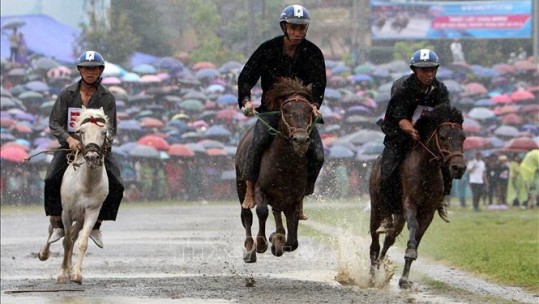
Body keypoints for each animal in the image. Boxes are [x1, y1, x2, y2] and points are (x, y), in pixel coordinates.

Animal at [38, 105, 110, 284]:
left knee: (74, 235)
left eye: (104, 132)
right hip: (58, 215)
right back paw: (44, 253)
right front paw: (62, 274)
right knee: (53, 231)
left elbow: (80, 242)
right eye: (82, 131)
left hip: (80, 218)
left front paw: (76, 274)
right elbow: (66, 241)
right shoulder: (67, 212)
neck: (85, 184)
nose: (91, 157)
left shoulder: (92, 212)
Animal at [235, 77, 316, 262]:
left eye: (309, 110)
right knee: (247, 215)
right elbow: (262, 211)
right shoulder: (260, 190)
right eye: (286, 110)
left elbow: (292, 241)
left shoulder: (294, 199)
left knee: (277, 213)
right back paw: (249, 249)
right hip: (241, 186)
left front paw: (276, 240)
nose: (301, 140)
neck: (284, 165)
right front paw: (262, 243)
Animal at [370, 104, 466, 288]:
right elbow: (413, 227)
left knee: (389, 239)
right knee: (375, 242)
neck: (426, 170)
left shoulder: (428, 211)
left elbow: (418, 235)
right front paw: (410, 253)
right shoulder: (410, 204)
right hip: (376, 209)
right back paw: (371, 276)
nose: (459, 168)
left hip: (398, 216)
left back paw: (379, 268)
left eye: (463, 137)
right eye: (443, 136)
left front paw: (404, 278)